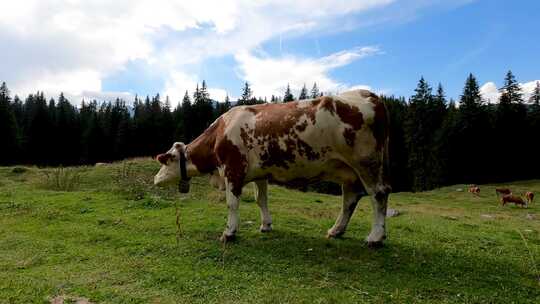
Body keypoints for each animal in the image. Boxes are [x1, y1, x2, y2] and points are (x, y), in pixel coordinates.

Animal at [154, 90, 390, 247]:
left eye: (164, 161)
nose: (155, 179)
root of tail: (368, 94)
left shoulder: (233, 168)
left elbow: (232, 203)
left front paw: (229, 233)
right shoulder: (259, 173)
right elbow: (261, 200)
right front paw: (266, 225)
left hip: (366, 162)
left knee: (378, 193)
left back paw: (375, 237)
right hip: (348, 171)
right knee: (349, 199)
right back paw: (336, 230)